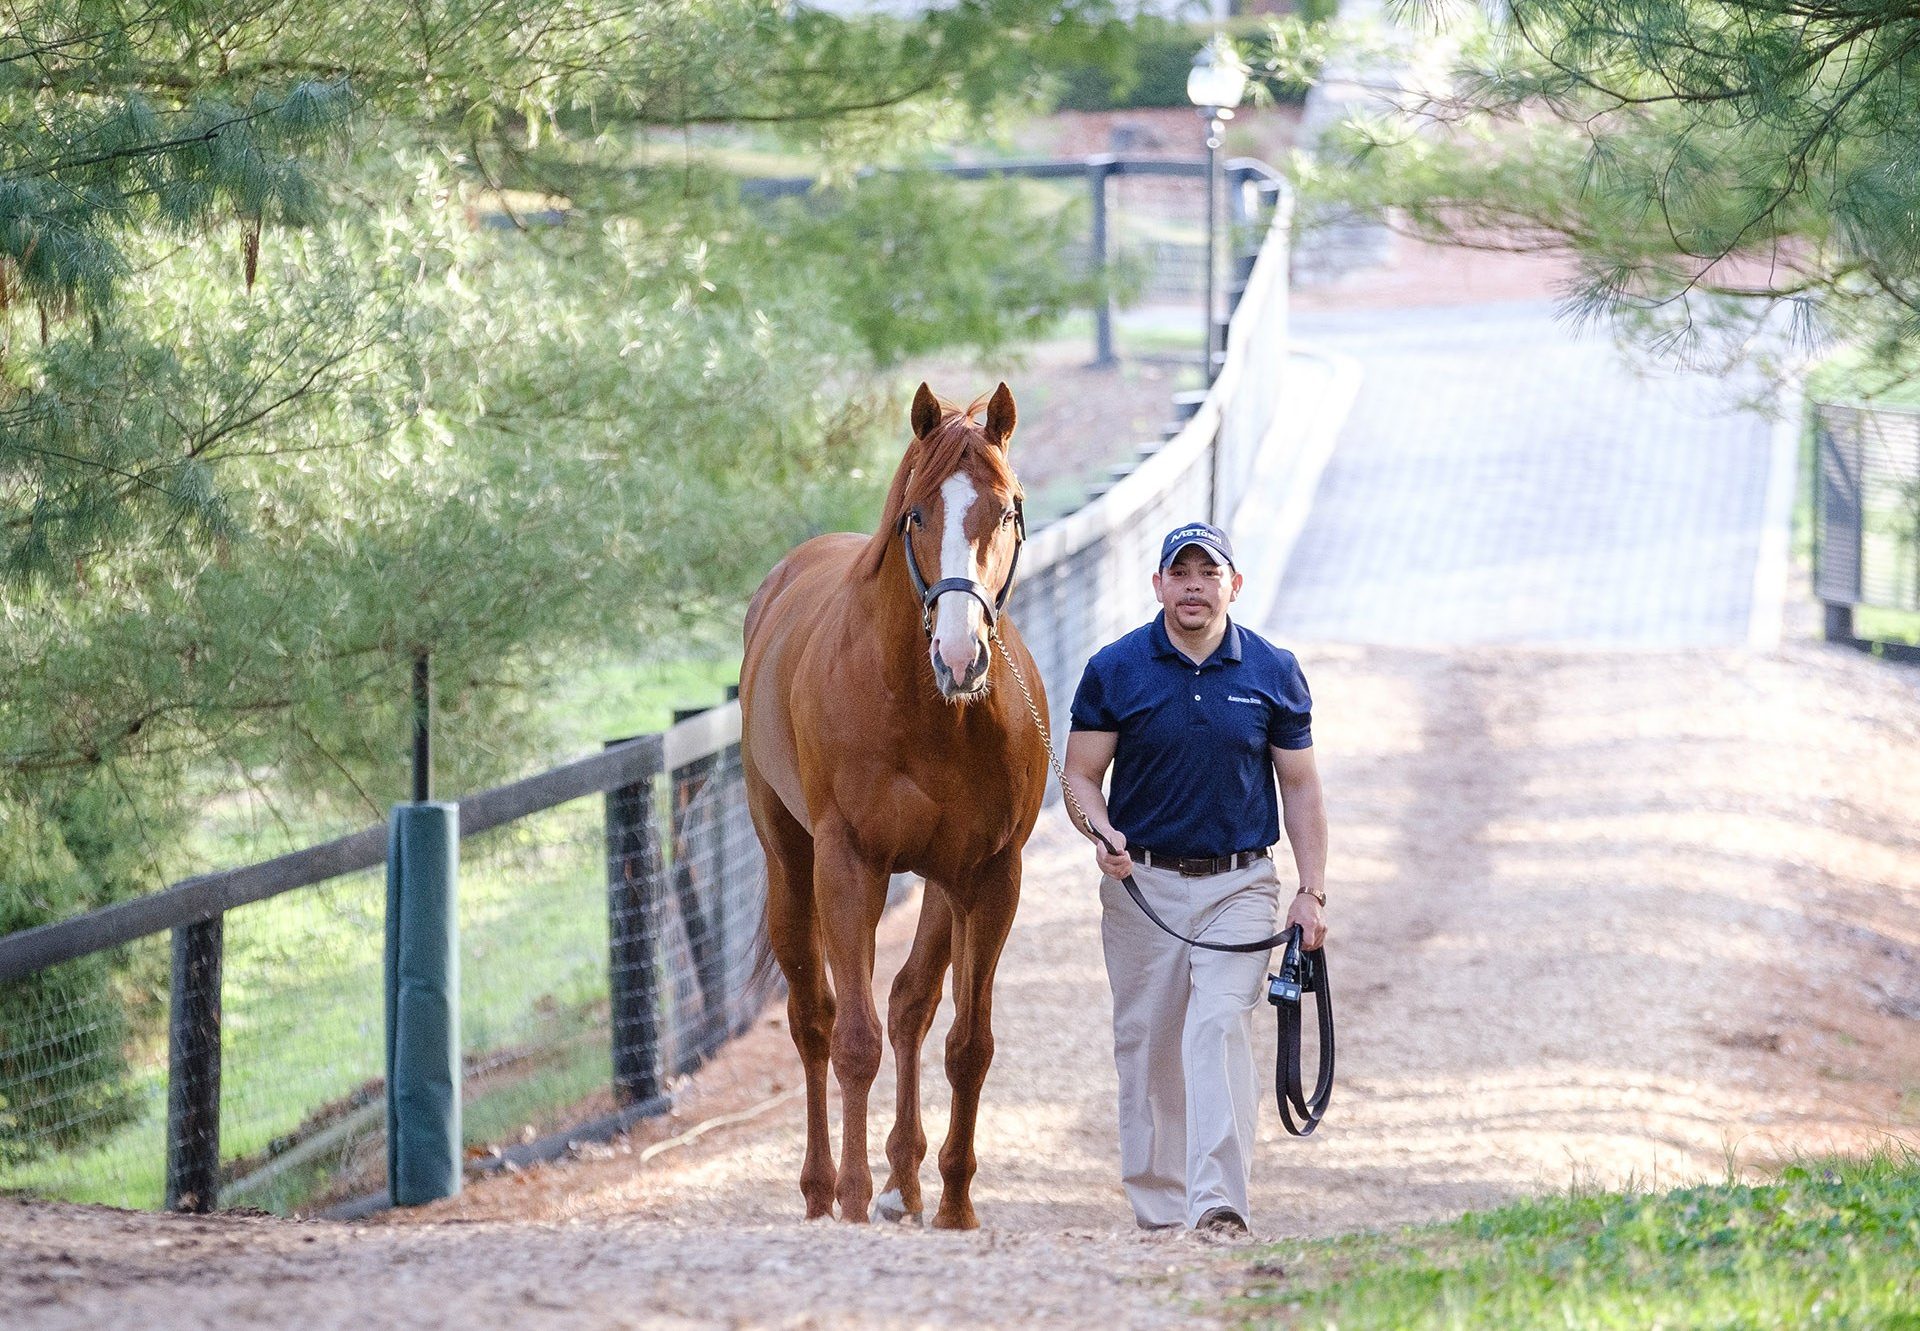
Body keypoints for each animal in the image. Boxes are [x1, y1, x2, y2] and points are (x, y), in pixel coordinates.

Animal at [741, 378, 1052, 1229]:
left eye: (1006, 510)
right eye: (917, 513)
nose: (960, 653)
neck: (926, 710)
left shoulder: (990, 877)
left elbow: (966, 1042)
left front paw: (954, 1202)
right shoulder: (850, 866)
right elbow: (853, 1037)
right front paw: (851, 1196)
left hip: (945, 885)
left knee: (913, 1003)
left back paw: (906, 1180)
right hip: (791, 864)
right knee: (813, 1021)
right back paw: (823, 1188)